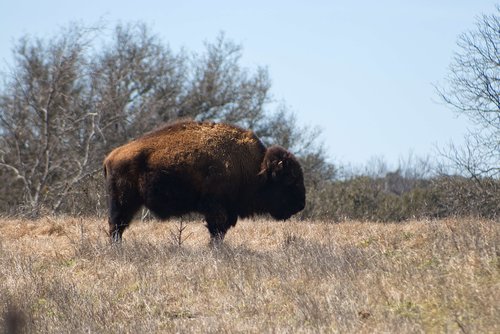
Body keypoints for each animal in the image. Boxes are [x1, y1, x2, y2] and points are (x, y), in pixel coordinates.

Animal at [102, 120, 304, 243]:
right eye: (290, 179)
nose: (301, 205)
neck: (255, 167)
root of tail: (110, 157)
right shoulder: (216, 207)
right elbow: (217, 229)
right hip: (124, 201)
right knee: (117, 224)